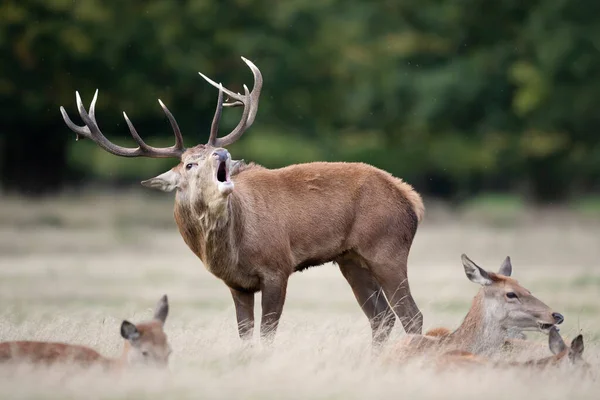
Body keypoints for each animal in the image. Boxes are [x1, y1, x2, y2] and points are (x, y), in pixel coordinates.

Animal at [59, 55, 426, 344]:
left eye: (216, 154)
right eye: (190, 163)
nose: (222, 151)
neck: (231, 249)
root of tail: (411, 199)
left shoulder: (278, 267)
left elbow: (267, 334)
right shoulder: (237, 284)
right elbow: (246, 336)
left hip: (386, 247)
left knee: (411, 315)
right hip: (350, 258)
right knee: (381, 318)